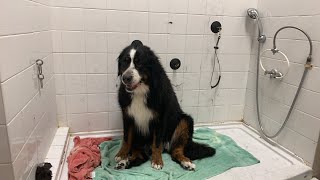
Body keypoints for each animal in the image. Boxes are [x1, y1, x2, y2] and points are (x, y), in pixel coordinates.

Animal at [114, 40, 215, 171]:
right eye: (124, 62)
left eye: (139, 63)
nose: (126, 78)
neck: (140, 92)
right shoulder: (127, 116)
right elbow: (126, 139)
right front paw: (121, 155)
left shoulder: (160, 118)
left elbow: (157, 142)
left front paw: (157, 161)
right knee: (140, 156)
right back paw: (124, 162)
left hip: (185, 121)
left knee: (176, 151)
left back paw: (186, 162)